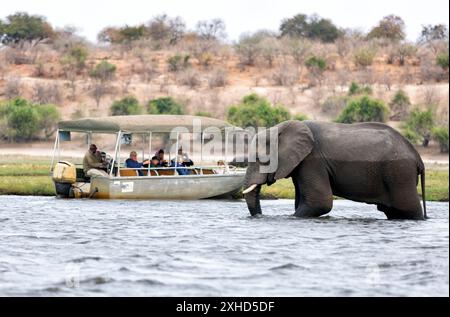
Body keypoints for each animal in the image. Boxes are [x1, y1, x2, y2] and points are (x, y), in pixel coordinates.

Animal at [244, 119, 428, 221]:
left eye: (261, 159)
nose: (259, 216)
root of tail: (418, 158)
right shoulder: (301, 164)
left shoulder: (312, 161)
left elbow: (320, 202)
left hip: (399, 172)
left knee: (408, 208)